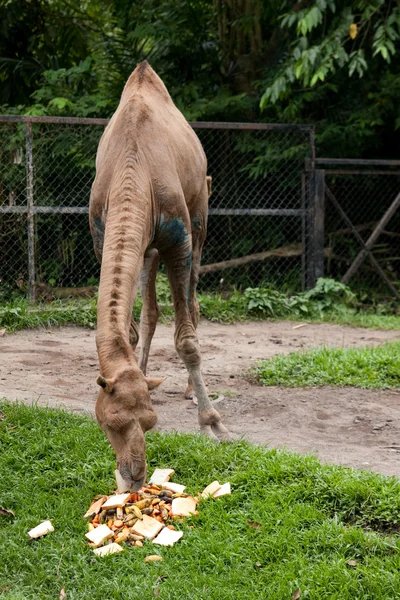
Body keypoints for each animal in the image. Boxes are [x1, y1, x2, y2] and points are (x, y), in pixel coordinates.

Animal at [88, 61, 230, 492]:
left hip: (200, 217)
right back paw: (151, 370)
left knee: (194, 304)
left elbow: (187, 340)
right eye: (108, 422)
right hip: (148, 251)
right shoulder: (104, 237)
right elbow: (133, 325)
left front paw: (212, 423)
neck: (133, 168)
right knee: (150, 310)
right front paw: (140, 370)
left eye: (150, 422)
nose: (133, 475)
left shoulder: (178, 239)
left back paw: (190, 391)